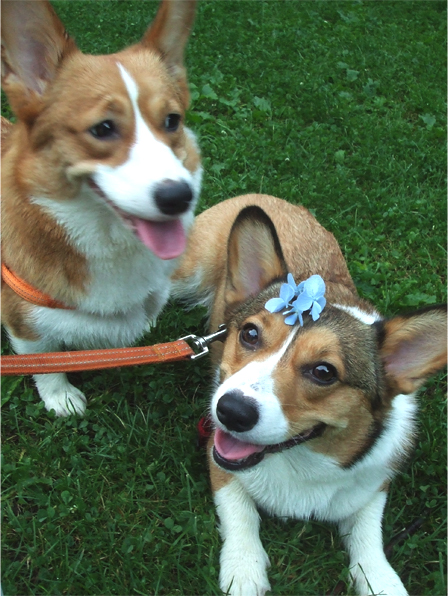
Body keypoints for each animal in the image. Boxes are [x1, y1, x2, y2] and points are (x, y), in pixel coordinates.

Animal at [1, 0, 200, 416]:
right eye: (103, 128)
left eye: (172, 121)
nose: (179, 196)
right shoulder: (21, 317)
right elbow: (43, 359)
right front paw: (60, 396)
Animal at [172, 194, 447, 596]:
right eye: (250, 334)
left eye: (323, 372)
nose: (231, 411)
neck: (301, 462)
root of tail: (262, 195)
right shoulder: (217, 457)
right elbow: (240, 511)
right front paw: (244, 569)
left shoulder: (374, 483)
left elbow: (369, 534)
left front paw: (381, 579)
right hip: (183, 271)